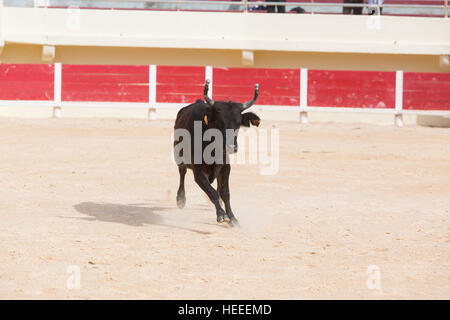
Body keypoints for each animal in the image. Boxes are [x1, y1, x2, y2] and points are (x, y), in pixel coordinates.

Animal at [174, 81, 262, 226]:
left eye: (238, 124)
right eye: (219, 122)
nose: (231, 147)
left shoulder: (226, 166)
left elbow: (225, 192)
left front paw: (232, 217)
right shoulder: (198, 172)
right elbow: (212, 192)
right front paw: (222, 214)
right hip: (179, 156)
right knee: (182, 172)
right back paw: (180, 199)